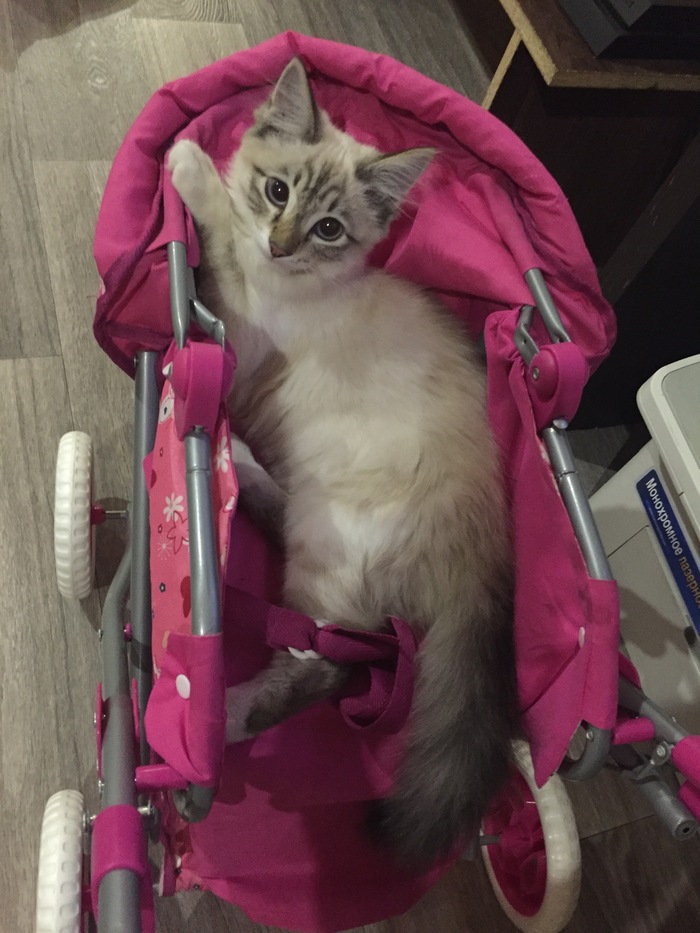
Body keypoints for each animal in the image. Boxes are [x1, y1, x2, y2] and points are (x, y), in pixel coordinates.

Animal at [167, 57, 519, 866]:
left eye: (328, 229)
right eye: (278, 192)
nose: (282, 243)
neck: (292, 280)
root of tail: (487, 555)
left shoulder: (240, 328)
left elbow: (221, 237)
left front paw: (188, 163)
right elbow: (230, 233)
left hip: (326, 545)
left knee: (331, 659)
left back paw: (224, 716)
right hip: (311, 517)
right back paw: (241, 461)